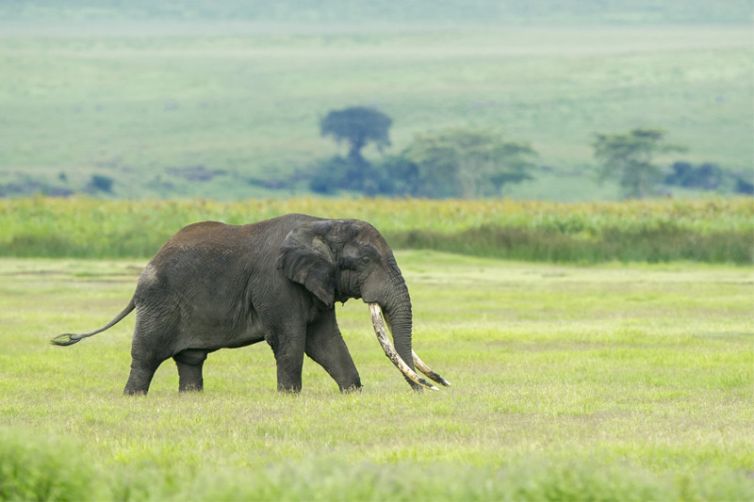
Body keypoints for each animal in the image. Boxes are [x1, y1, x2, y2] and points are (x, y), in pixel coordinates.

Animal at [52, 213, 449, 394]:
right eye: (365, 261)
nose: (427, 388)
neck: (323, 224)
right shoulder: (276, 284)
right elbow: (291, 340)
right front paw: (290, 397)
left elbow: (326, 342)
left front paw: (352, 393)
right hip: (159, 303)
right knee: (147, 356)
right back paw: (134, 398)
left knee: (190, 360)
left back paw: (191, 399)